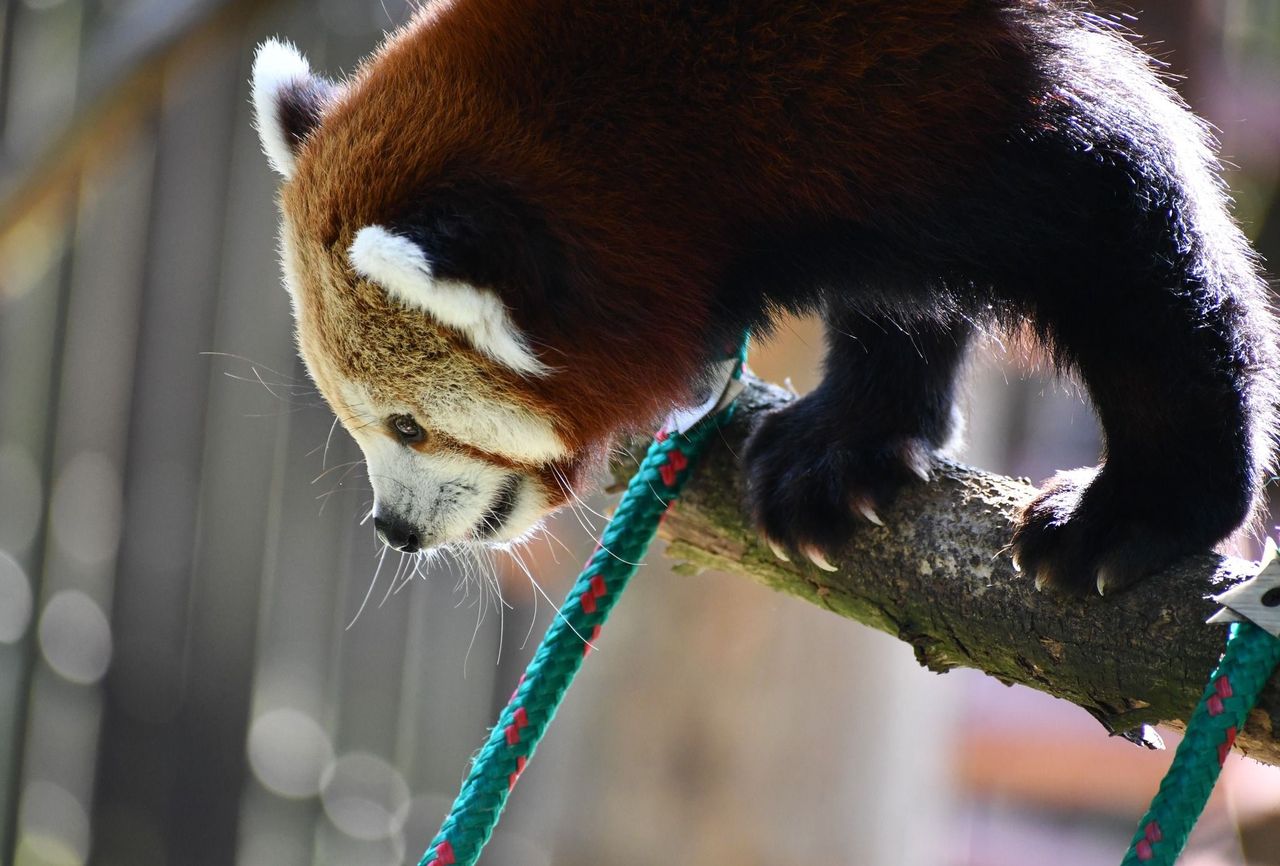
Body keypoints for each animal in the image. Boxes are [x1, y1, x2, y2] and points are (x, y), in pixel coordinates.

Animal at [252, 0, 1280, 593]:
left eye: (410, 426)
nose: (393, 530)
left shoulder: (932, 69)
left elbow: (1128, 217)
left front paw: (1147, 506)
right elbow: (903, 296)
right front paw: (847, 442)